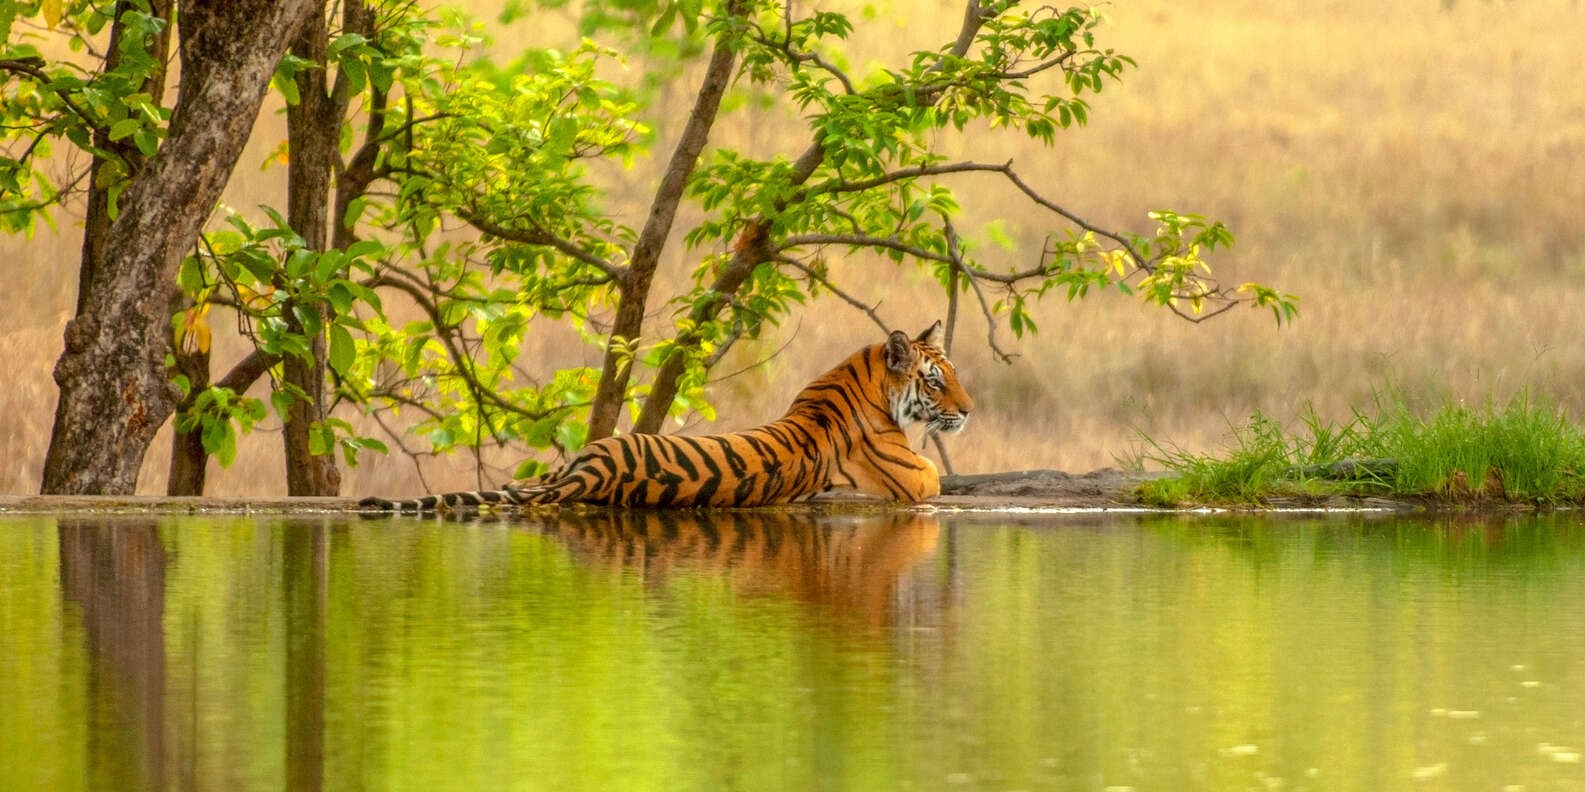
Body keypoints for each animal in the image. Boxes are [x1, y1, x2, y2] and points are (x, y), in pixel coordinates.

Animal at [359, 321, 973, 511]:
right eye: (936, 380)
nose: (968, 412)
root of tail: (592, 473)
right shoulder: (916, 477)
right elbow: (938, 475)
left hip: (570, 462)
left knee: (524, 483)